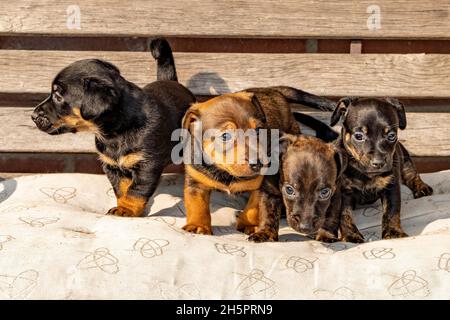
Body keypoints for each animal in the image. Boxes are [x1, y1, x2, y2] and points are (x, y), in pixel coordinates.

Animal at [30, 38, 194, 218]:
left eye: (58, 96)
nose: (33, 115)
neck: (115, 132)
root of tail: (173, 82)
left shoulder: (147, 165)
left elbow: (136, 191)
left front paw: (128, 209)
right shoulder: (112, 167)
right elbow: (121, 190)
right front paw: (121, 207)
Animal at [179, 85, 334, 235]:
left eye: (259, 130)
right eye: (225, 136)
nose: (259, 163)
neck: (226, 172)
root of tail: (273, 90)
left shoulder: (262, 185)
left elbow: (254, 208)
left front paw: (249, 224)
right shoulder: (196, 182)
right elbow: (197, 204)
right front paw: (198, 225)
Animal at [330, 97, 432, 240]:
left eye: (391, 136)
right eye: (358, 136)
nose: (378, 162)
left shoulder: (391, 187)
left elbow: (391, 211)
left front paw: (393, 232)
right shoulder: (342, 191)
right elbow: (344, 215)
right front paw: (351, 235)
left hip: (405, 159)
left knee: (412, 175)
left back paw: (422, 188)